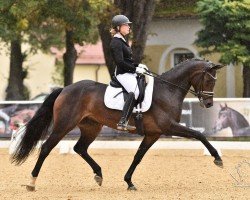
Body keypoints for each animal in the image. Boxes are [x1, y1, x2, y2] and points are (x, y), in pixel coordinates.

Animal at [10, 57, 224, 191]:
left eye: (214, 82)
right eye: (208, 80)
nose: (208, 104)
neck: (168, 90)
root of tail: (64, 89)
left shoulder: (153, 133)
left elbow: (138, 156)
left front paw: (129, 182)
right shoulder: (168, 127)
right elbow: (199, 134)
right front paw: (217, 158)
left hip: (91, 126)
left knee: (80, 148)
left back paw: (98, 174)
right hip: (64, 124)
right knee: (46, 147)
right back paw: (31, 183)